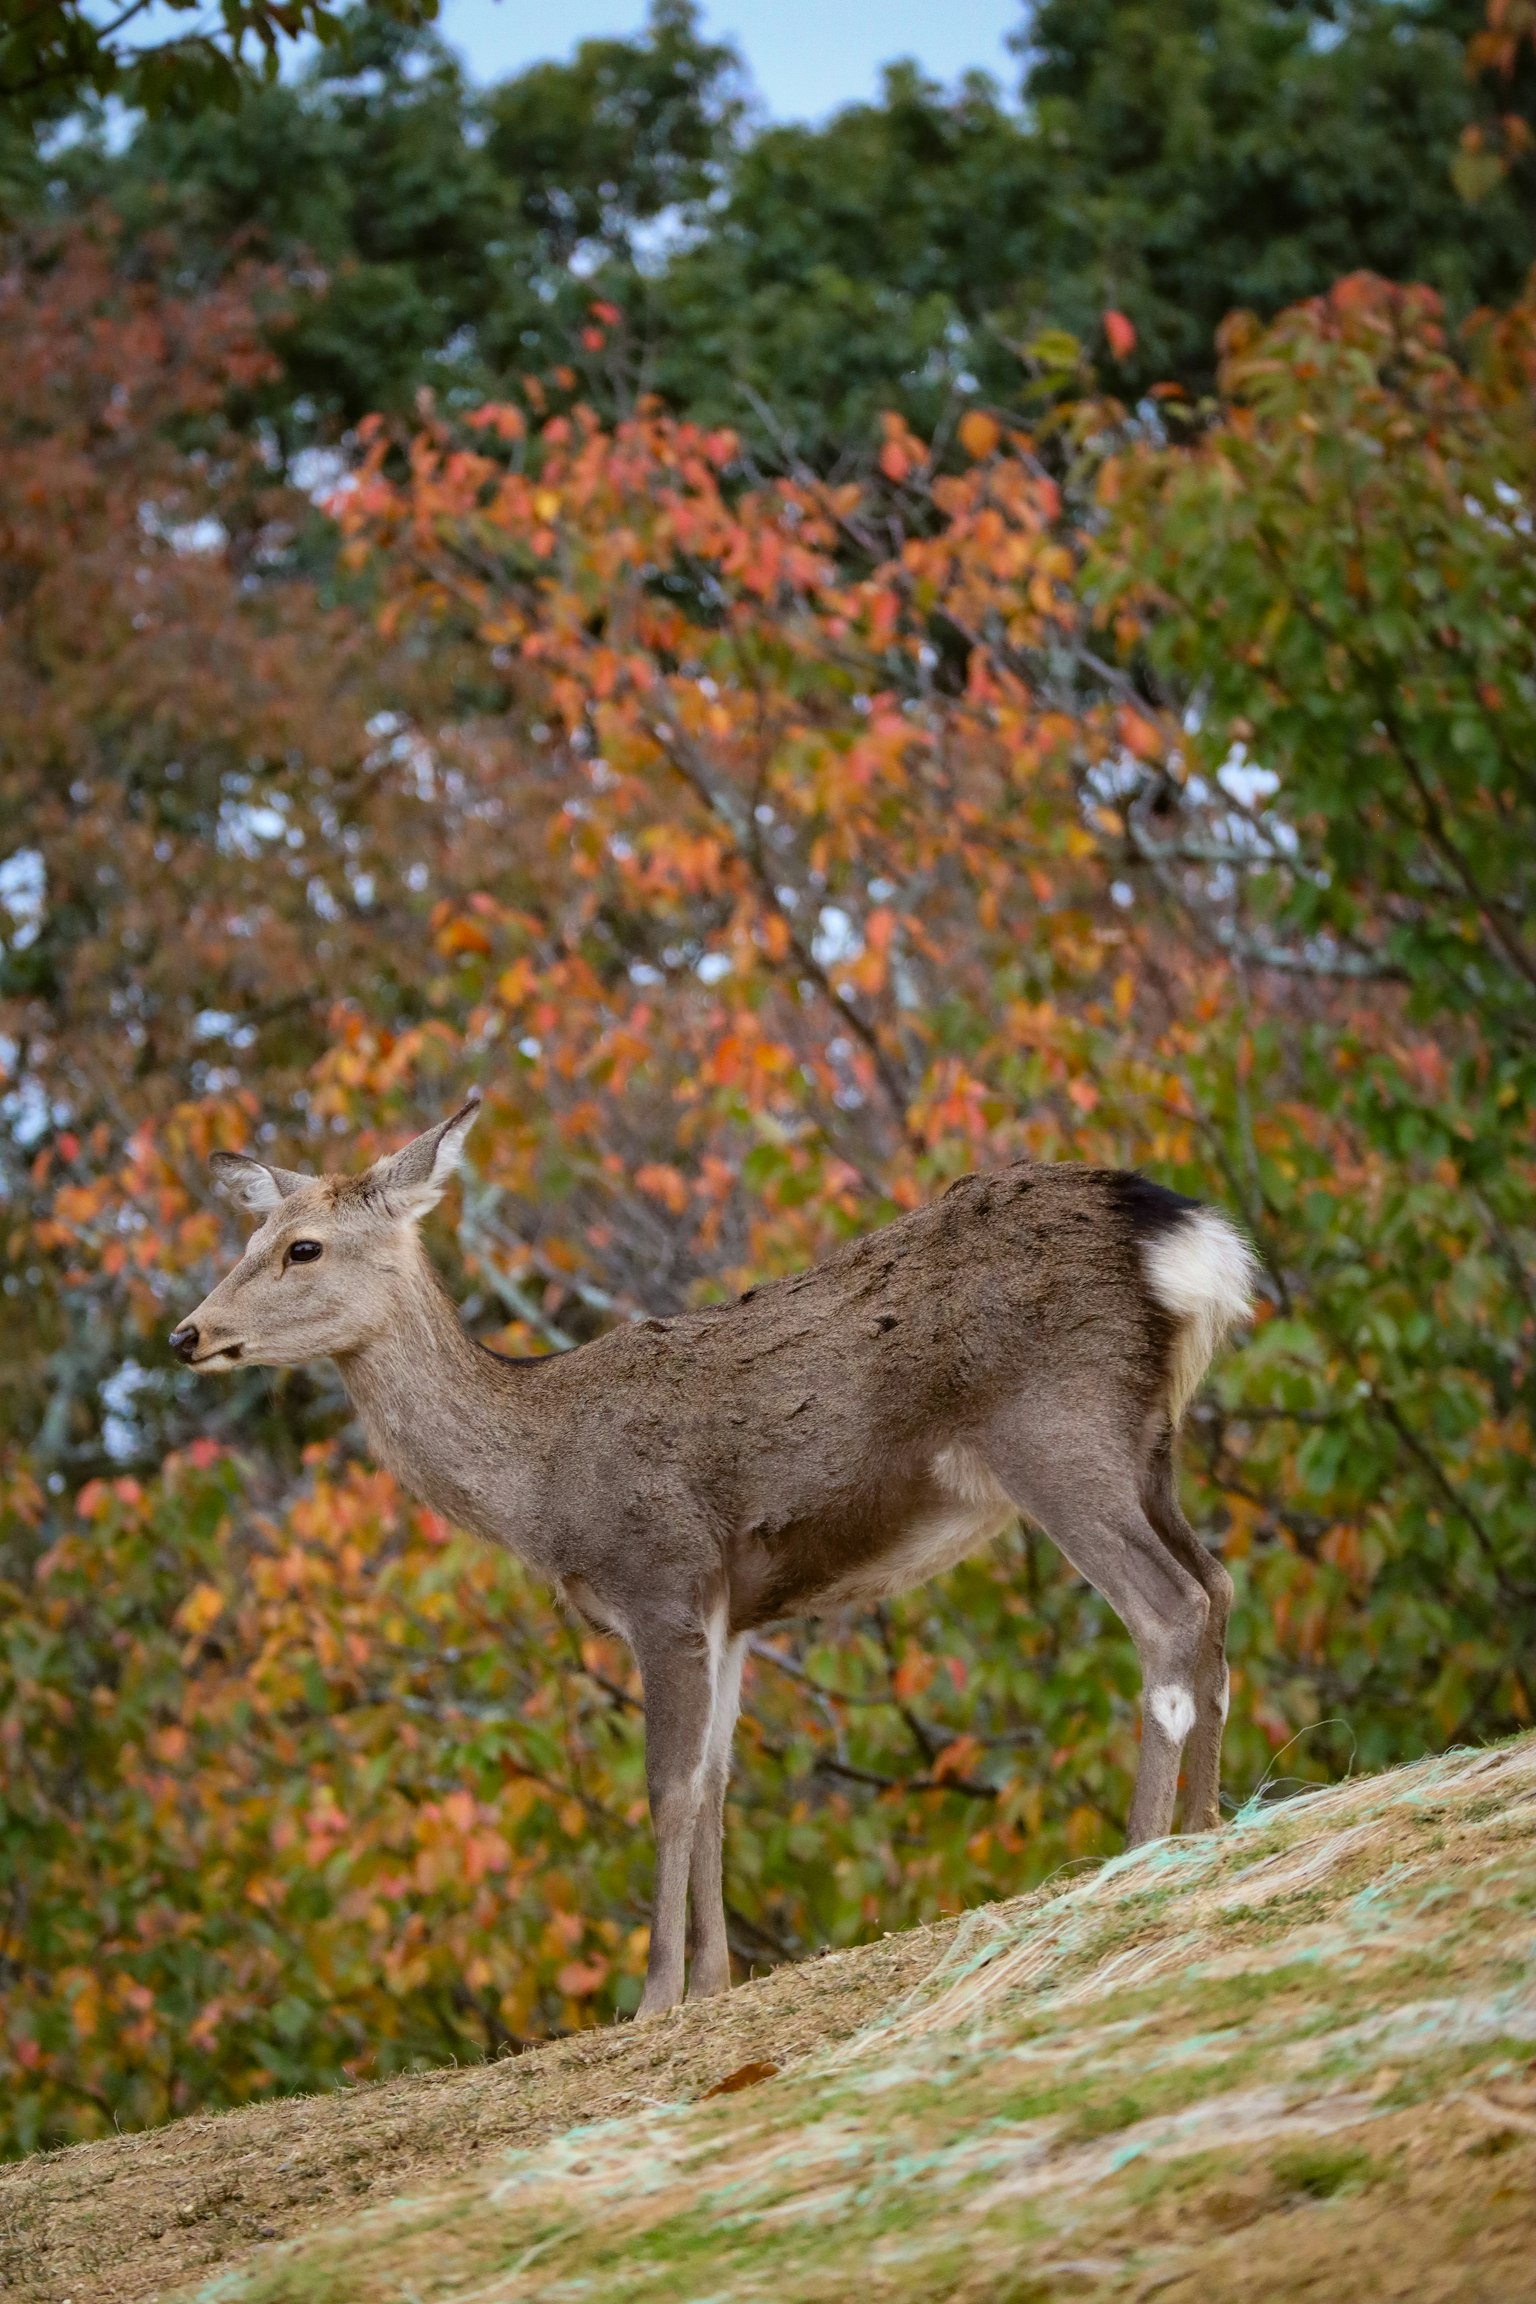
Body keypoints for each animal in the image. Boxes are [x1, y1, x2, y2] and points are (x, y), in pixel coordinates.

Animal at [169, 1095, 1257, 2017]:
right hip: (1149, 1440)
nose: (187, 1334)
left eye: (302, 1247)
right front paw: (714, 1981)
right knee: (1217, 1583)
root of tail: (1184, 1239)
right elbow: (716, 1786)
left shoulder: (660, 1582)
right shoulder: (728, 1614)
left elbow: (666, 1786)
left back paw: (1141, 1846)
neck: (540, 1485)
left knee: (1167, 1606)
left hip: (1056, 1426)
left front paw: (653, 1998)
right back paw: (1208, 1824)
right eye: (249, 1239)